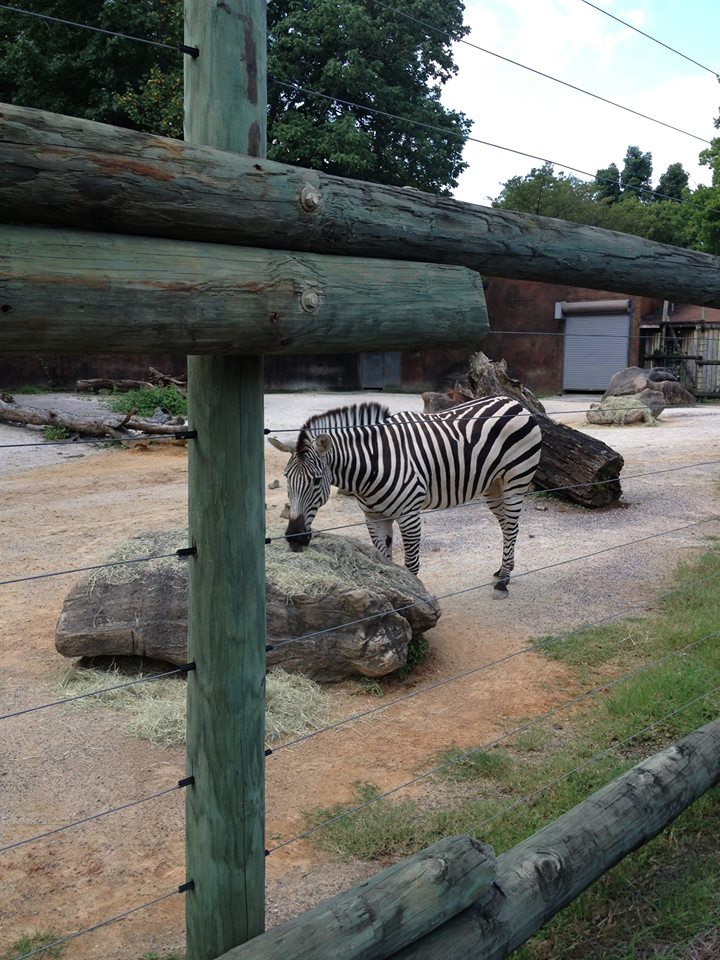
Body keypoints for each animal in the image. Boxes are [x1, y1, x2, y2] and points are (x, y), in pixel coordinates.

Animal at [267, 396, 542, 594]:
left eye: (316, 481)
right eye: (286, 478)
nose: (294, 538)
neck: (372, 464)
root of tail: (512, 400)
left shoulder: (409, 514)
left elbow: (411, 564)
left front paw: (416, 597)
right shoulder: (373, 516)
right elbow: (384, 560)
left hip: (516, 480)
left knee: (512, 527)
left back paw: (504, 581)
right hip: (493, 486)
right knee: (506, 526)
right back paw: (503, 569)